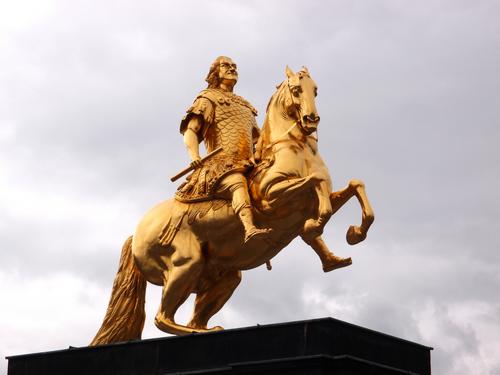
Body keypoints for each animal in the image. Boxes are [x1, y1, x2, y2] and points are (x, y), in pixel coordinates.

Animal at [92, 66, 376, 346]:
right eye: (296, 89)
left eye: (315, 89)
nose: (311, 119)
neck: (294, 149)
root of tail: (136, 234)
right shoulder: (271, 200)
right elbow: (316, 186)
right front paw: (316, 225)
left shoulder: (316, 200)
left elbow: (355, 185)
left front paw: (354, 234)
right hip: (185, 265)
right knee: (162, 317)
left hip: (224, 277)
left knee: (194, 318)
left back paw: (209, 330)